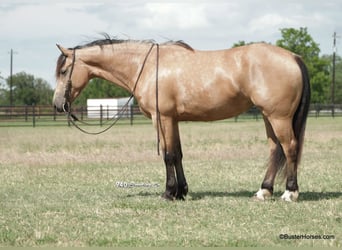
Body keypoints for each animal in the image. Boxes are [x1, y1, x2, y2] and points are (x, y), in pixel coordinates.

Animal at [52, 36, 310, 201]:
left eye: (63, 71)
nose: (58, 105)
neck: (147, 67)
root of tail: (293, 57)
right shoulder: (173, 120)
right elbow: (178, 154)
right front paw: (182, 191)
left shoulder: (162, 118)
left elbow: (168, 155)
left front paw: (168, 193)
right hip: (269, 117)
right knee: (275, 150)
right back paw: (263, 191)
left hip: (278, 117)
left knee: (290, 147)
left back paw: (290, 192)